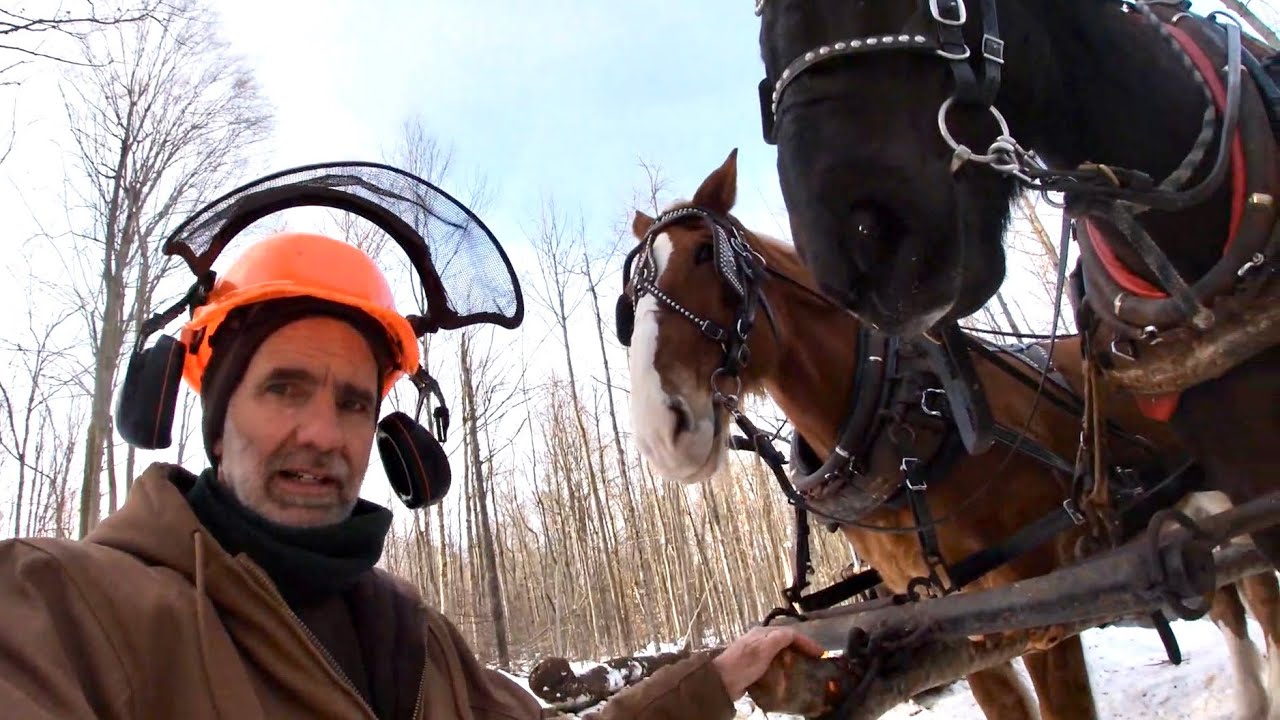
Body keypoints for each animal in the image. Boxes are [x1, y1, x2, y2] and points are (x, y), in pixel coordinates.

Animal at [617, 150, 1280, 720]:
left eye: (705, 255)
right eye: (632, 299)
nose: (662, 433)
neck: (899, 419)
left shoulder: (1044, 606)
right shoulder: (954, 620)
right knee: (1231, 596)